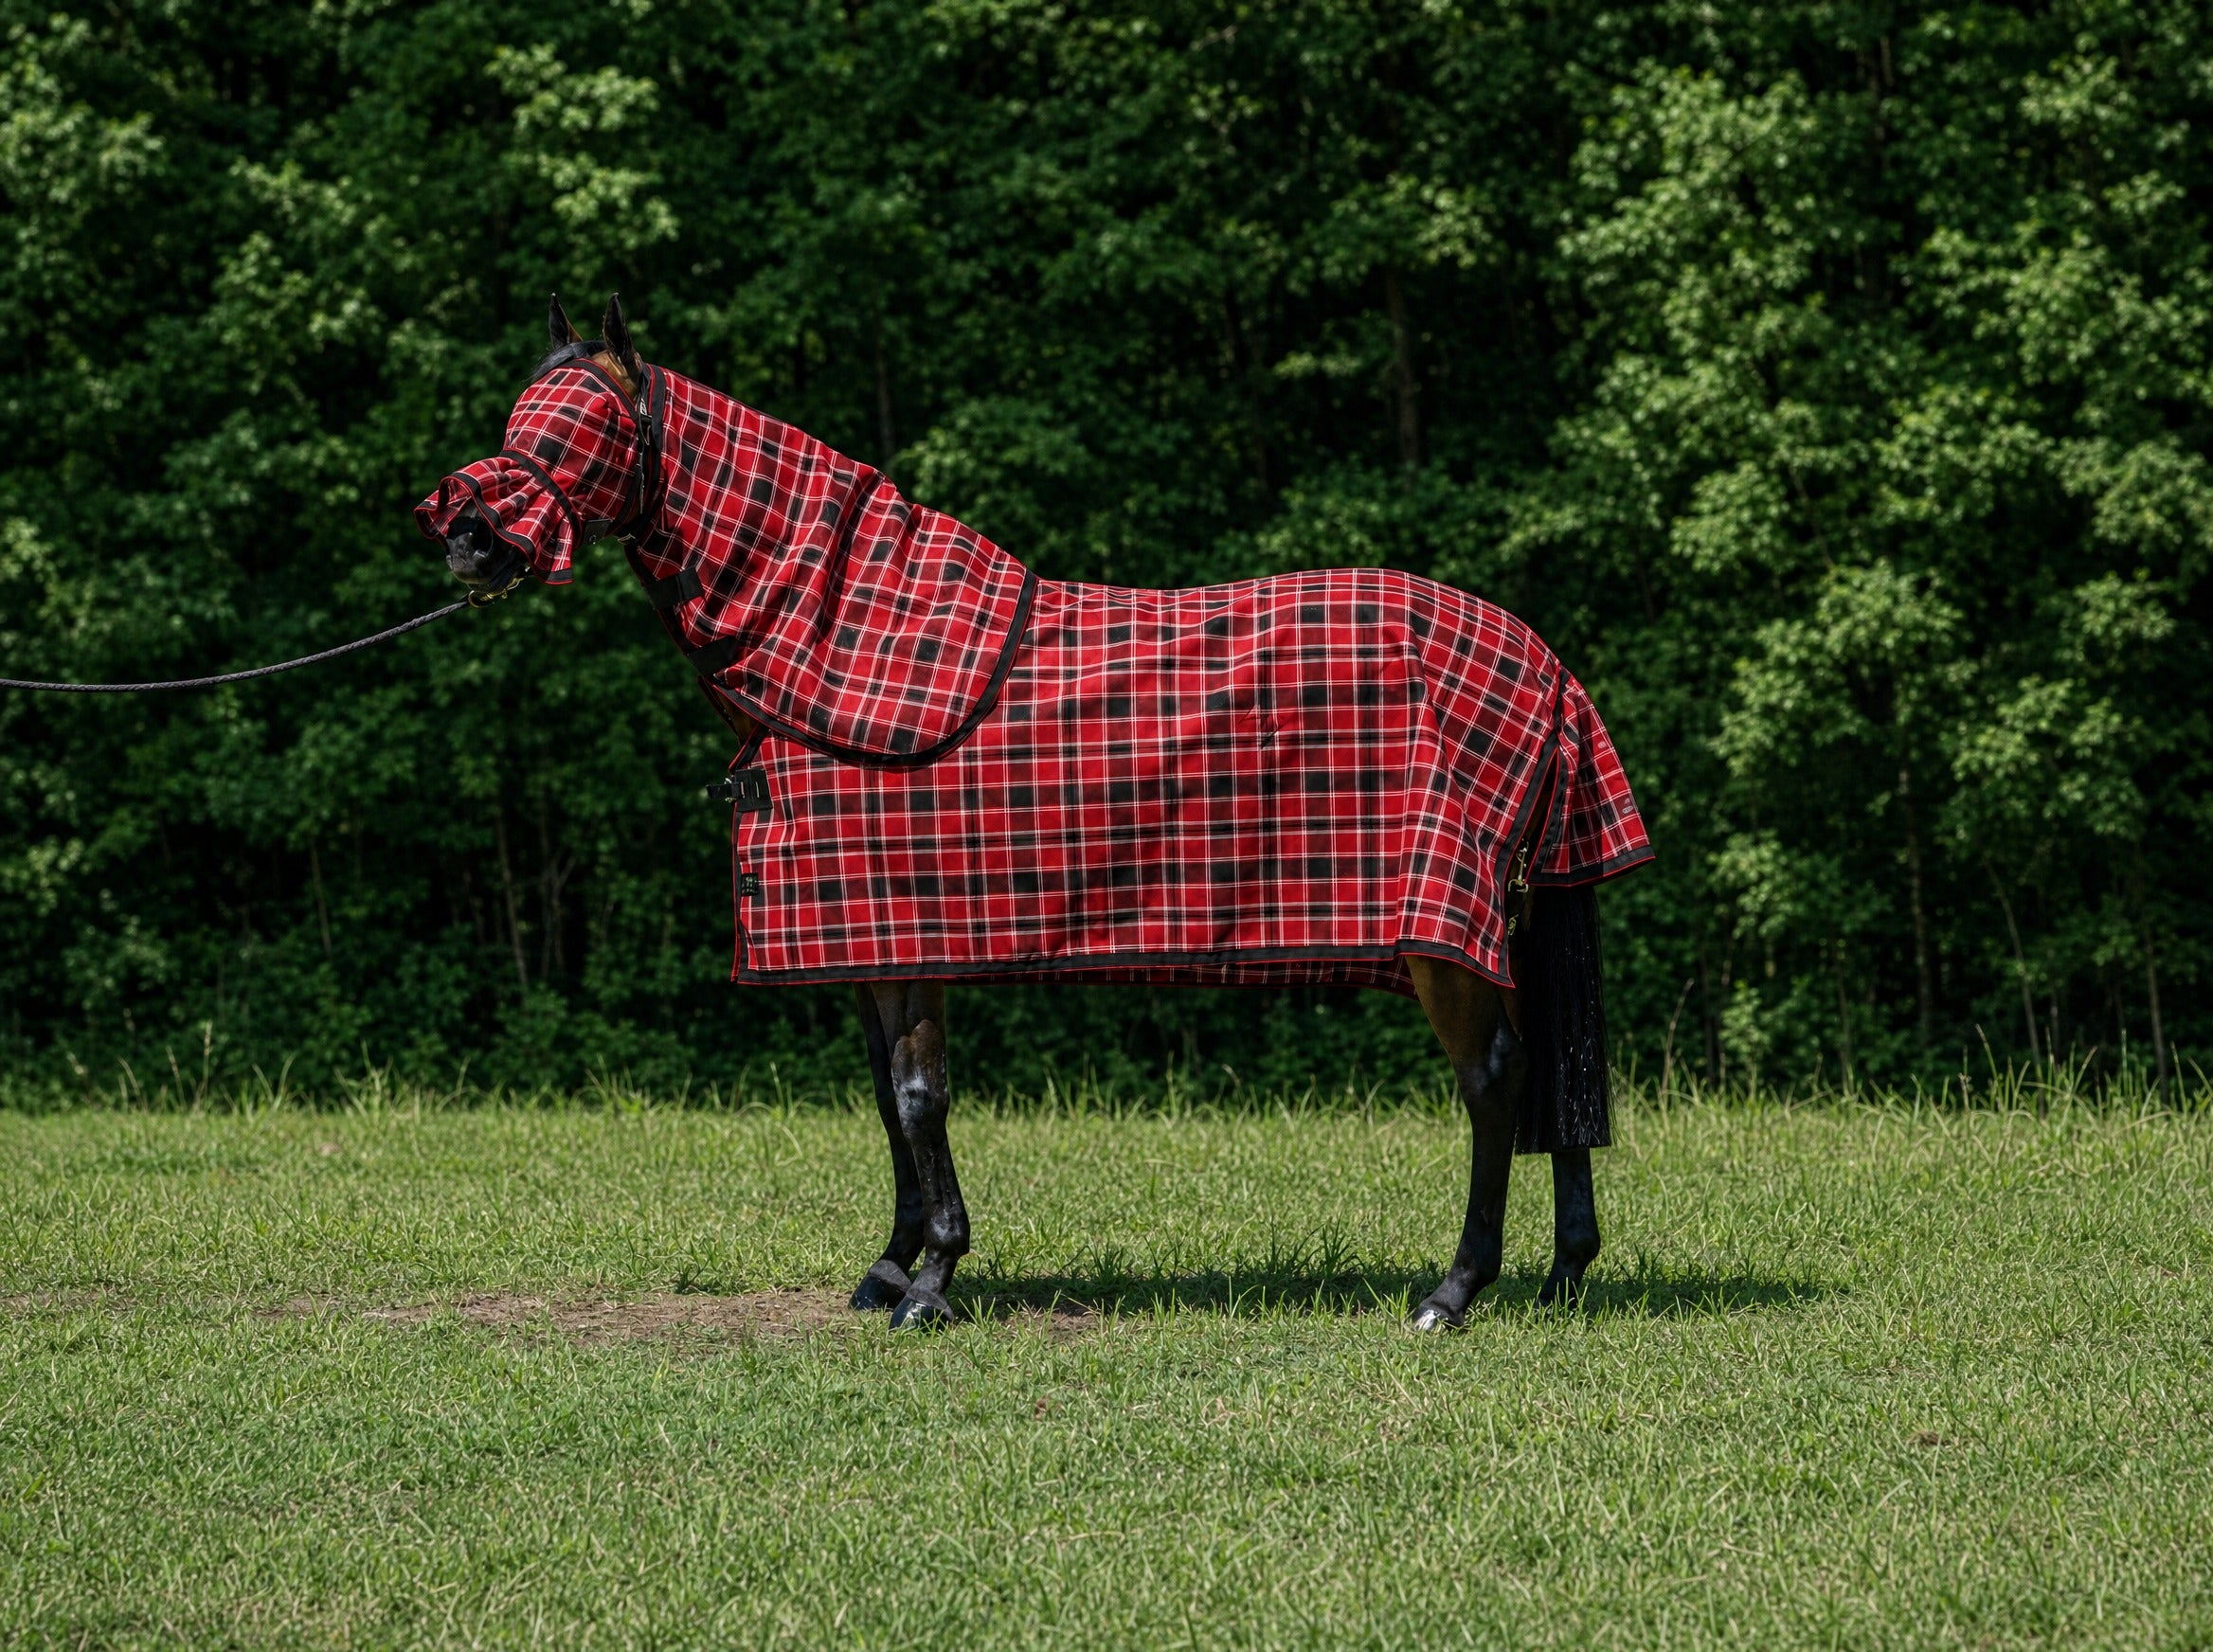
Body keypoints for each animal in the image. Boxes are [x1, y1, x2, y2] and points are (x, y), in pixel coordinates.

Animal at [420, 294, 1652, 1332]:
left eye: (584, 428)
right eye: (520, 416)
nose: (467, 537)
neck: (841, 641)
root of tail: (1539, 662)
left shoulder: (910, 936)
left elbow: (920, 1097)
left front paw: (932, 1281)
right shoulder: (869, 944)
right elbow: (886, 1103)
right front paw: (890, 1266)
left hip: (1438, 934)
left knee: (1493, 1078)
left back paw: (1454, 1290)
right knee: (1544, 1068)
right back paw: (1559, 1274)